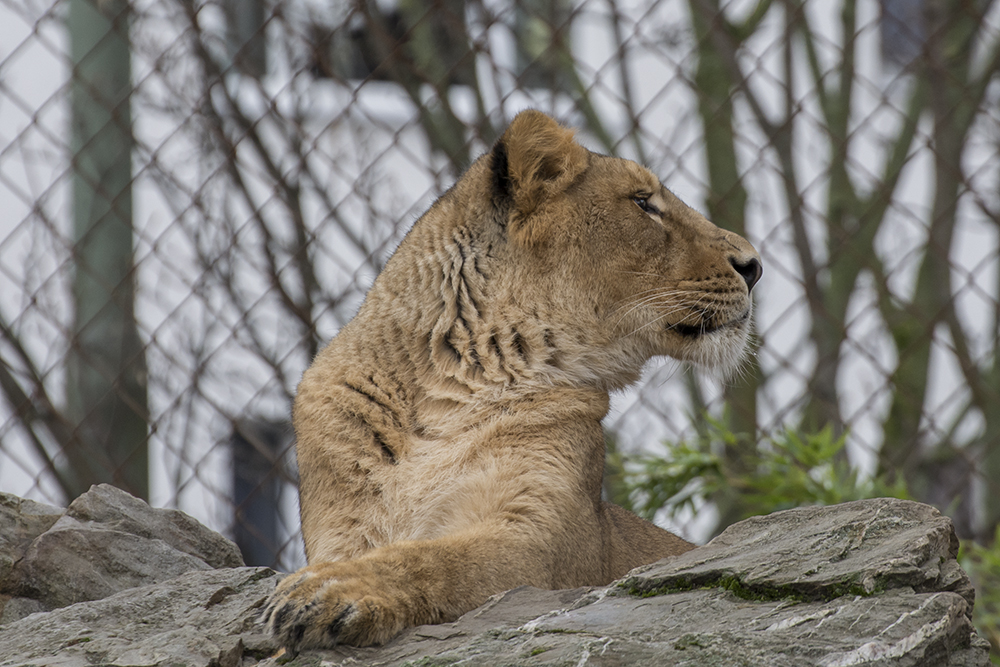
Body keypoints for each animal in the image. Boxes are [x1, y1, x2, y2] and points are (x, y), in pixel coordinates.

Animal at [262, 109, 760, 652]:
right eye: (643, 202)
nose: (754, 266)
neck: (452, 382)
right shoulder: (346, 526)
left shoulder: (542, 542)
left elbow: (435, 558)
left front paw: (331, 590)